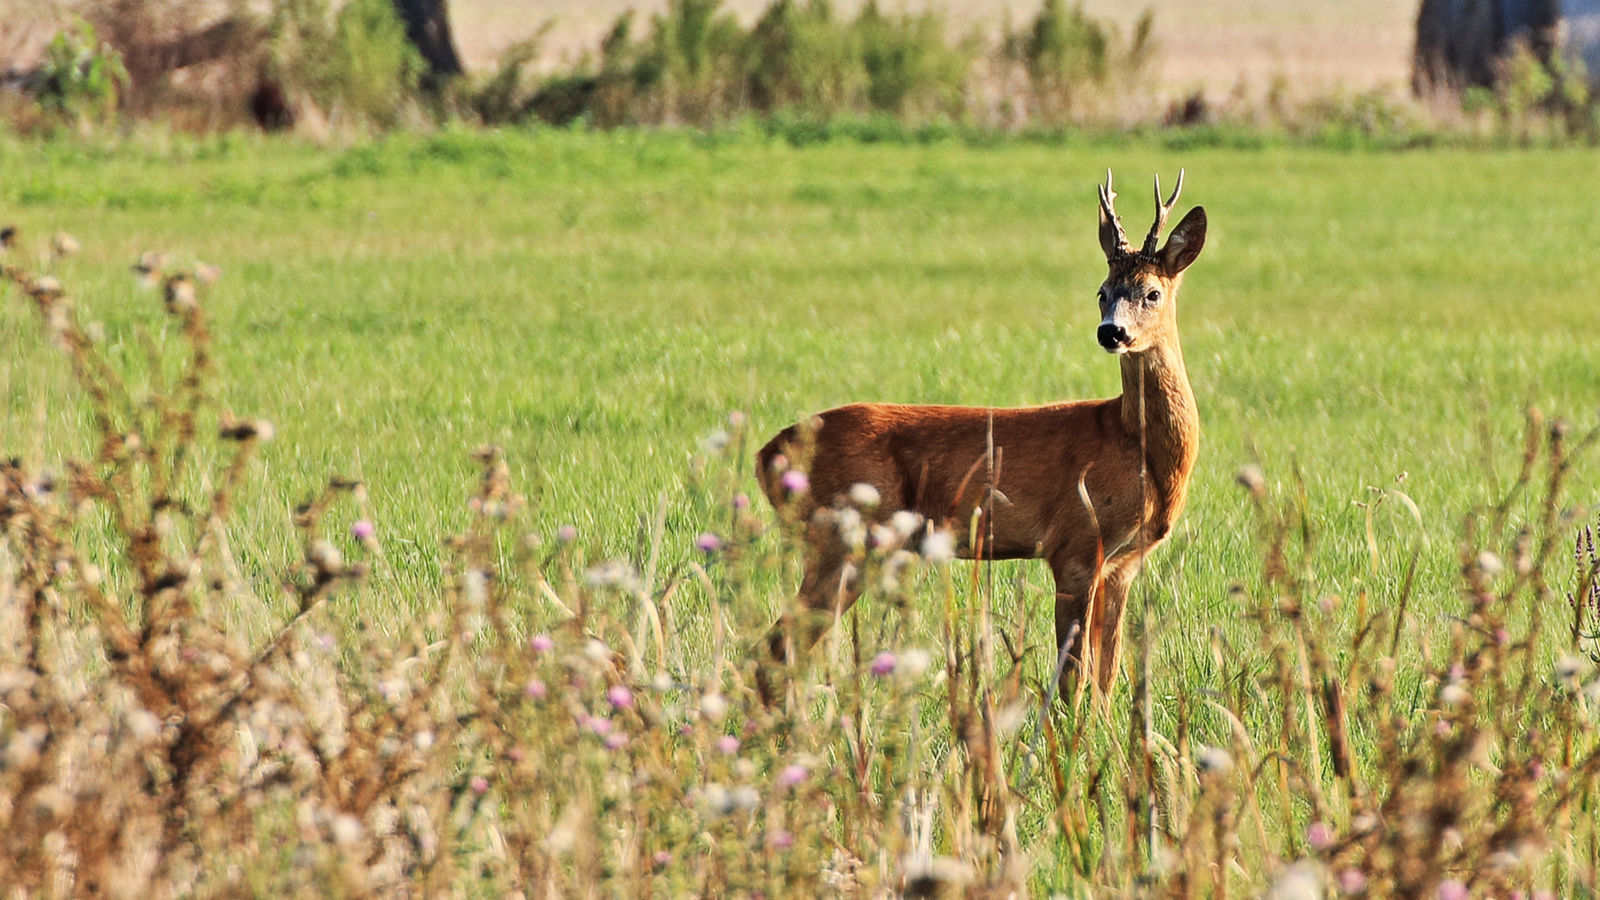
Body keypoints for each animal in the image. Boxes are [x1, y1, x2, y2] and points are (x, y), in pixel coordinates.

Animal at [752, 169, 1203, 701]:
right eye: (1102, 291)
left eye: (1151, 293)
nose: (1111, 332)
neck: (1136, 448)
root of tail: (768, 454)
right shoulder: (1074, 543)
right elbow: (1074, 677)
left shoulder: (1123, 564)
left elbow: (1106, 678)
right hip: (841, 538)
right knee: (774, 651)